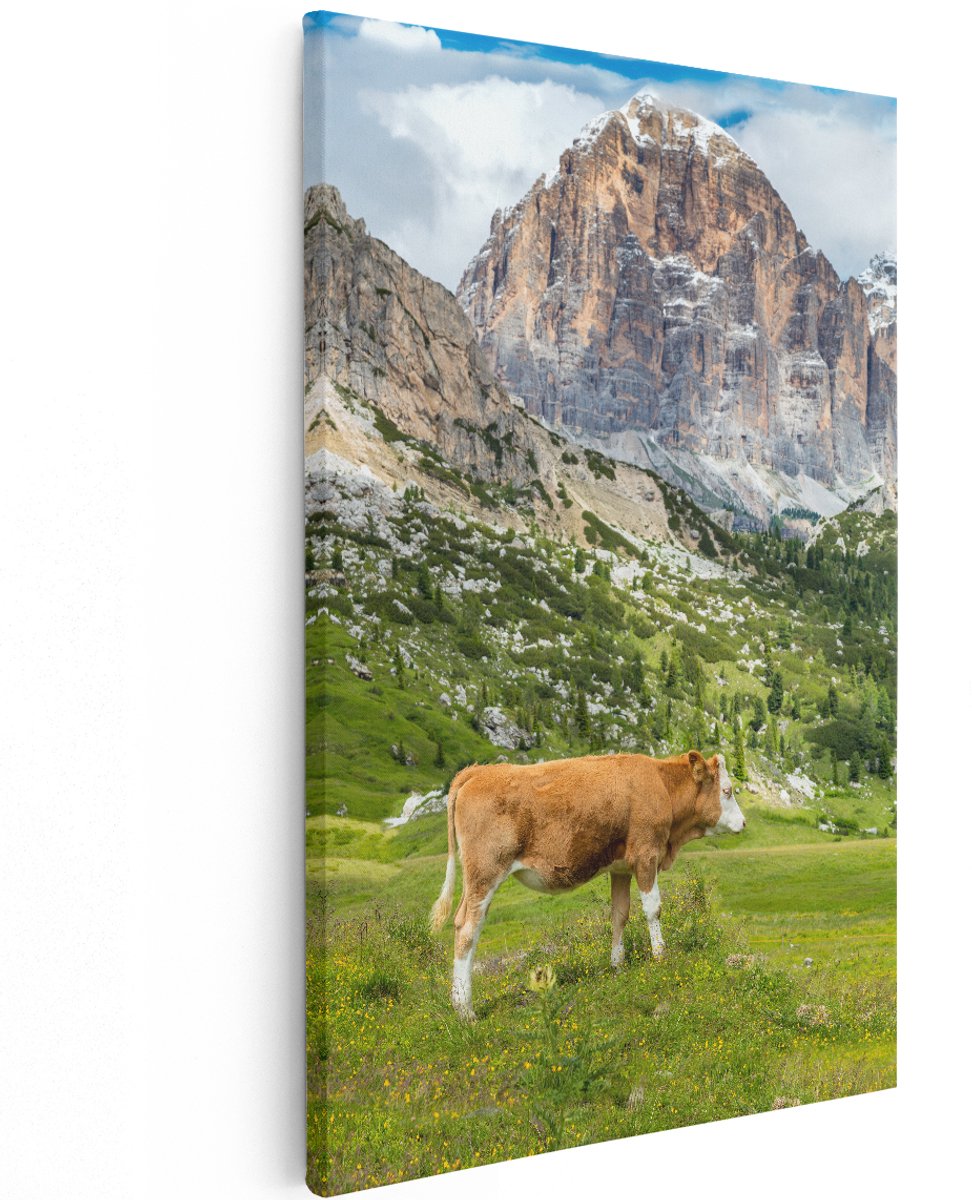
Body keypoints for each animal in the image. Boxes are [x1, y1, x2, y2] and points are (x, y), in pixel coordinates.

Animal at [429, 750, 745, 1019]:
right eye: (727, 791)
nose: (744, 823)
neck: (661, 786)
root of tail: (477, 772)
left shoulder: (621, 867)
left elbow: (620, 914)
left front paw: (617, 964)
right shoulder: (646, 855)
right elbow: (653, 910)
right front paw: (661, 956)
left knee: (462, 922)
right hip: (486, 871)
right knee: (468, 929)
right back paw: (465, 1010)